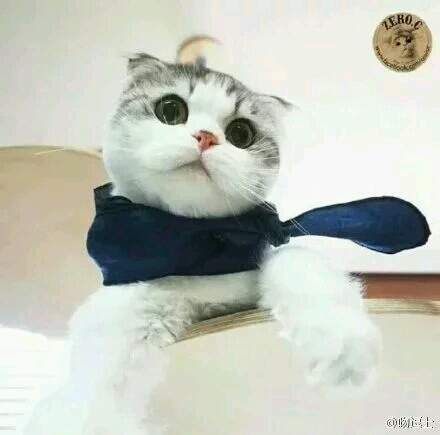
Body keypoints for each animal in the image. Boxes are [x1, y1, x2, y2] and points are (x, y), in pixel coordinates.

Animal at [20, 53, 381, 434]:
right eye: (170, 110)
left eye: (241, 133)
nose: (206, 137)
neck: (198, 244)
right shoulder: (126, 306)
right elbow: (99, 379)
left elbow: (297, 259)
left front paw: (341, 346)